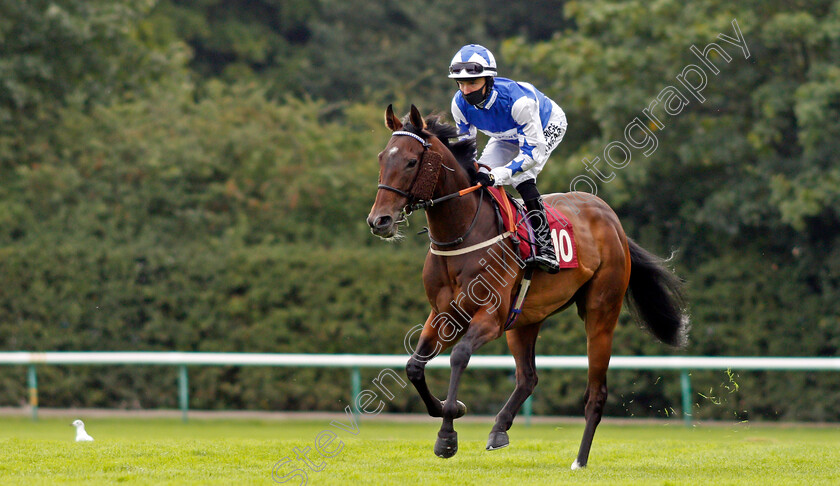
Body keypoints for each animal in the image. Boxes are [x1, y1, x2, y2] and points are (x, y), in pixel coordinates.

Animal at [368, 104, 688, 468]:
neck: (461, 236)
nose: (379, 221)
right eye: (382, 157)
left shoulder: (491, 316)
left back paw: (579, 460)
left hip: (601, 312)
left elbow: (459, 356)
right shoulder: (443, 314)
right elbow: (414, 367)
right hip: (525, 319)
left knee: (596, 393)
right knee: (528, 377)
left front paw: (447, 435)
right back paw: (499, 429)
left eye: (410, 162)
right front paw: (450, 409)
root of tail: (613, 221)